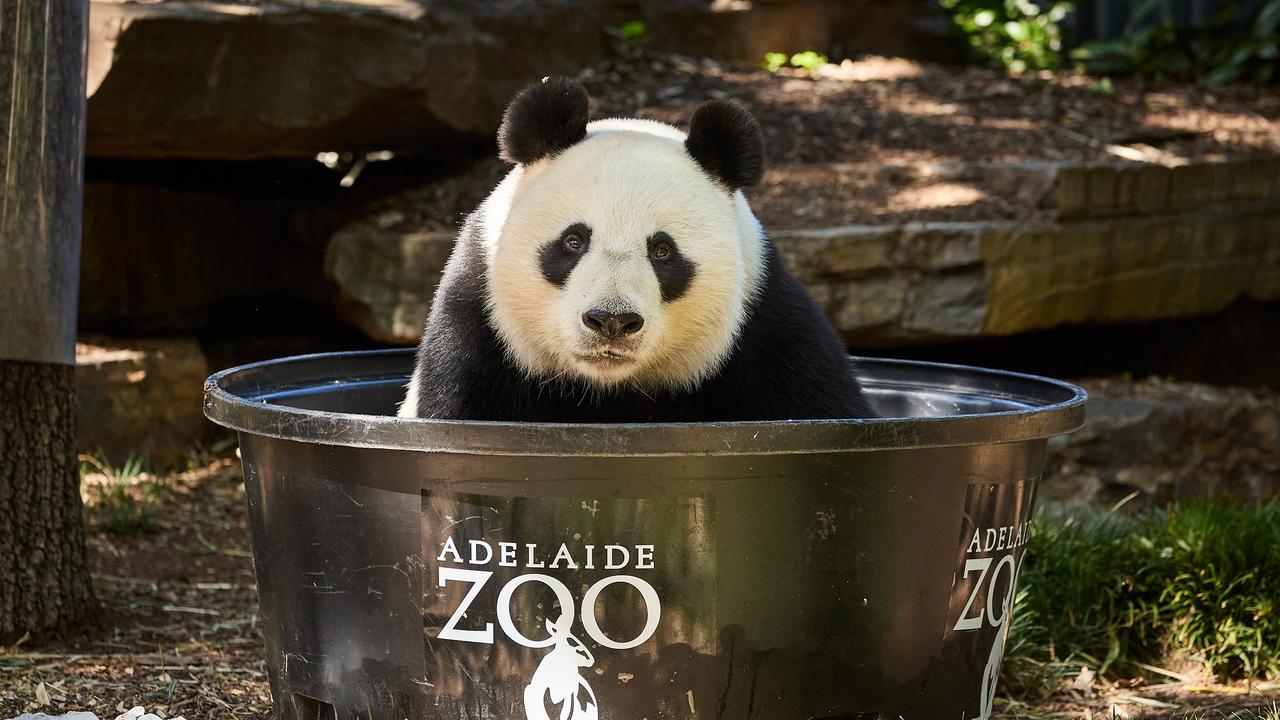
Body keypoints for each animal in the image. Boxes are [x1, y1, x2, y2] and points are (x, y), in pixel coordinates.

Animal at [401, 77, 870, 420]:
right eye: (573, 241)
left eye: (662, 252)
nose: (611, 321)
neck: (608, 388)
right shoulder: (478, 324)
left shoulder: (768, 325)